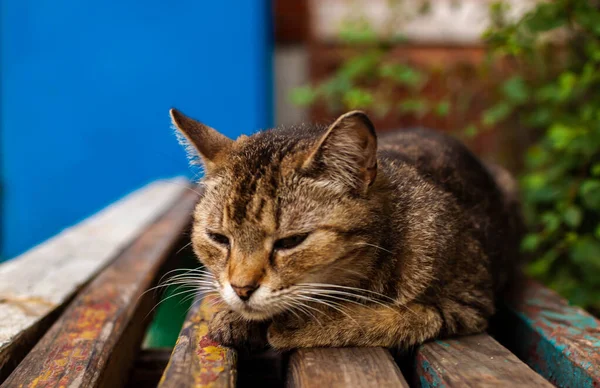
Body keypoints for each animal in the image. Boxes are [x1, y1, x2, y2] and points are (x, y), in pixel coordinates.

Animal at [170, 108, 524, 348]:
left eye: (291, 242)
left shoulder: (465, 304)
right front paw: (236, 315)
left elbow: (385, 317)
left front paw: (296, 324)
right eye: (218, 238)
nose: (242, 289)